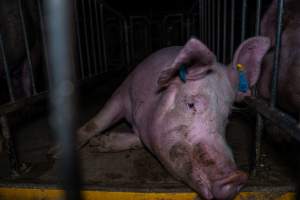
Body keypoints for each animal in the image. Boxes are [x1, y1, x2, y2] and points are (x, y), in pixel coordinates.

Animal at [49, 36, 270, 198]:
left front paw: (102, 142)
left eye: (228, 116)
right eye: (191, 104)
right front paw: (57, 154)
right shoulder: (122, 92)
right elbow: (97, 122)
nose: (237, 177)